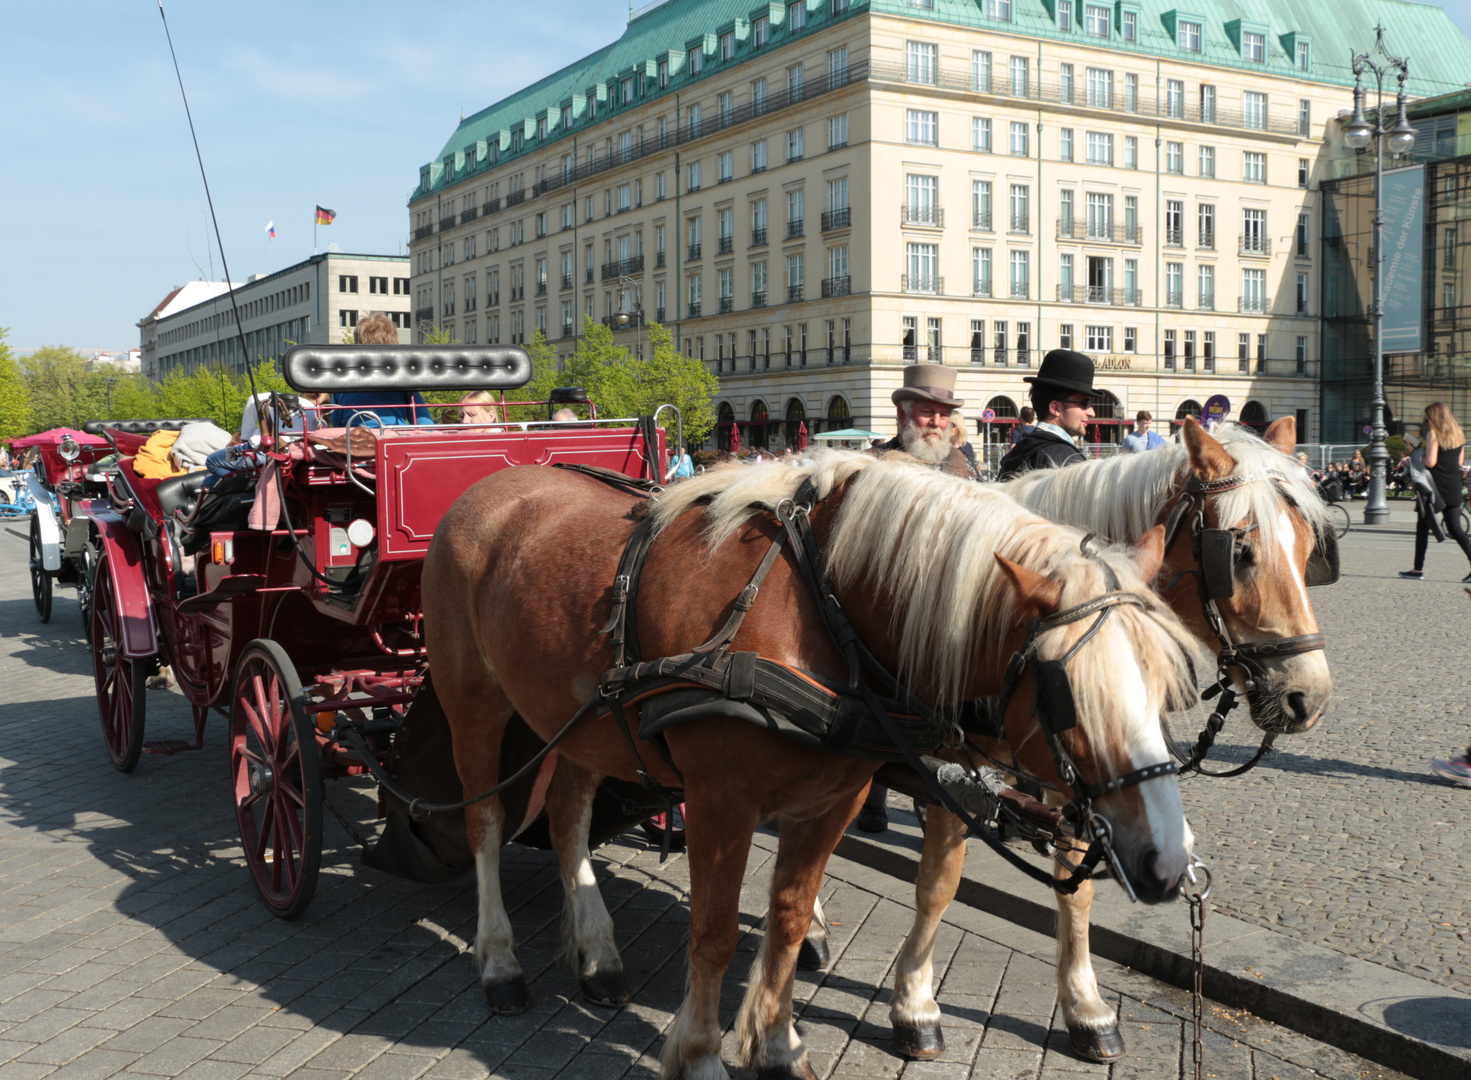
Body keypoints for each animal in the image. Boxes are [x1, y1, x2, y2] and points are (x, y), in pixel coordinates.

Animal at [420, 456, 1200, 1080]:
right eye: (1063, 691)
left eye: (1167, 682)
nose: (1169, 863)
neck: (821, 609)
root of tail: (495, 480)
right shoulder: (721, 800)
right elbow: (715, 933)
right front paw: (700, 1055)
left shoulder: (835, 797)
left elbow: (791, 918)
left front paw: (775, 1044)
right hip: (473, 702)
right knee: (484, 820)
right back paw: (500, 962)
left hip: (583, 721)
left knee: (567, 817)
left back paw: (597, 953)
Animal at [823, 417, 1341, 1065]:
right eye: (1240, 554)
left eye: (1309, 549)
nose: (1307, 697)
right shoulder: (950, 769)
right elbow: (937, 886)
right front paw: (915, 1005)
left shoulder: (1082, 774)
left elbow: (1077, 890)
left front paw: (1086, 1007)